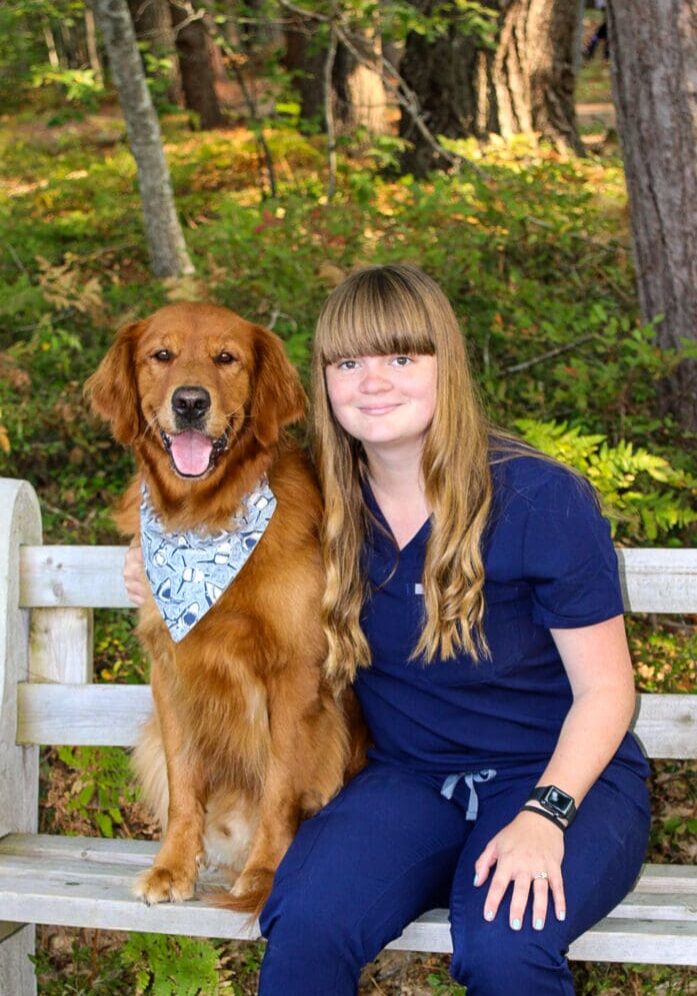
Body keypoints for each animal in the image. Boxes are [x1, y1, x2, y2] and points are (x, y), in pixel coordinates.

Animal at [88, 302, 364, 912]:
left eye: (226, 358)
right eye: (161, 354)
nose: (190, 403)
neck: (204, 521)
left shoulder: (296, 673)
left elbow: (281, 782)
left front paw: (264, 873)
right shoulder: (170, 670)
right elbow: (185, 779)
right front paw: (172, 866)